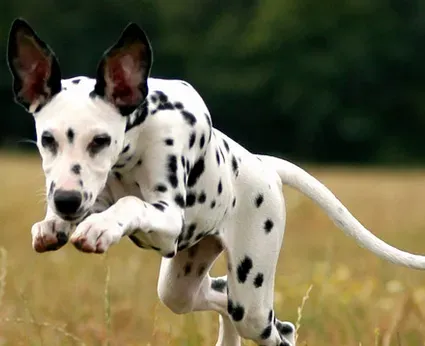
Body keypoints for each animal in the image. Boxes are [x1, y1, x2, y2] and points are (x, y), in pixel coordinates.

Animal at [5, 18, 424, 346]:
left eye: (101, 141)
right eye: (47, 140)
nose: (66, 202)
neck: (136, 139)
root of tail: (262, 164)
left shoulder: (168, 220)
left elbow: (131, 203)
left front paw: (99, 228)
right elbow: (98, 203)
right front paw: (53, 224)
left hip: (252, 299)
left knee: (279, 328)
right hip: (181, 287)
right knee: (219, 294)